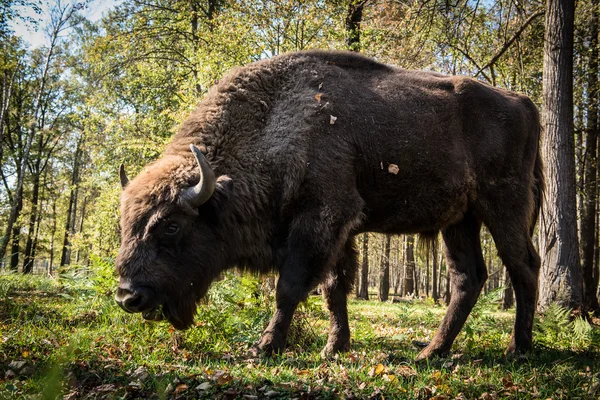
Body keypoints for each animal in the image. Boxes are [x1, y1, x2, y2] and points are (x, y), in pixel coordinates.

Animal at [116, 50, 544, 360]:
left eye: (171, 225)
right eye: (126, 226)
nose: (128, 297)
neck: (274, 120)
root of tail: (524, 103)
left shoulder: (323, 219)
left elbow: (289, 287)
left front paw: (264, 347)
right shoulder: (340, 233)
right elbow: (334, 289)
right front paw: (335, 347)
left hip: (504, 206)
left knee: (523, 266)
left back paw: (518, 349)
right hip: (459, 220)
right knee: (467, 278)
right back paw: (431, 352)